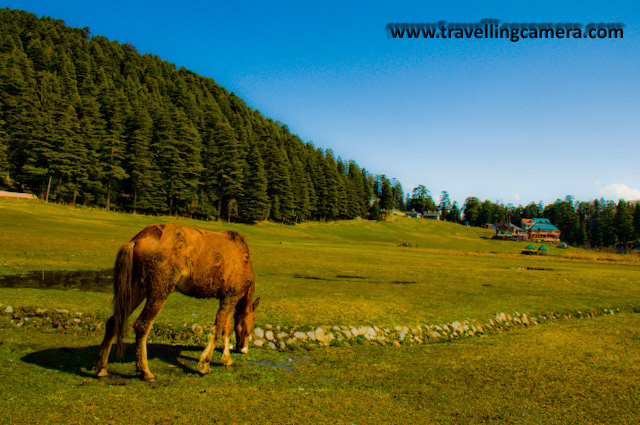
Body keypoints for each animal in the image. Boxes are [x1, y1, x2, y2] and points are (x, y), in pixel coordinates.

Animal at [94, 222, 258, 380]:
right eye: (248, 327)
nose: (243, 349)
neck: (243, 261)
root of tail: (137, 239)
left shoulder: (226, 298)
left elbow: (226, 328)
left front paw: (226, 359)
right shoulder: (231, 297)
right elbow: (218, 330)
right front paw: (204, 365)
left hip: (137, 289)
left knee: (114, 321)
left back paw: (101, 368)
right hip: (160, 289)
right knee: (142, 325)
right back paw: (145, 371)